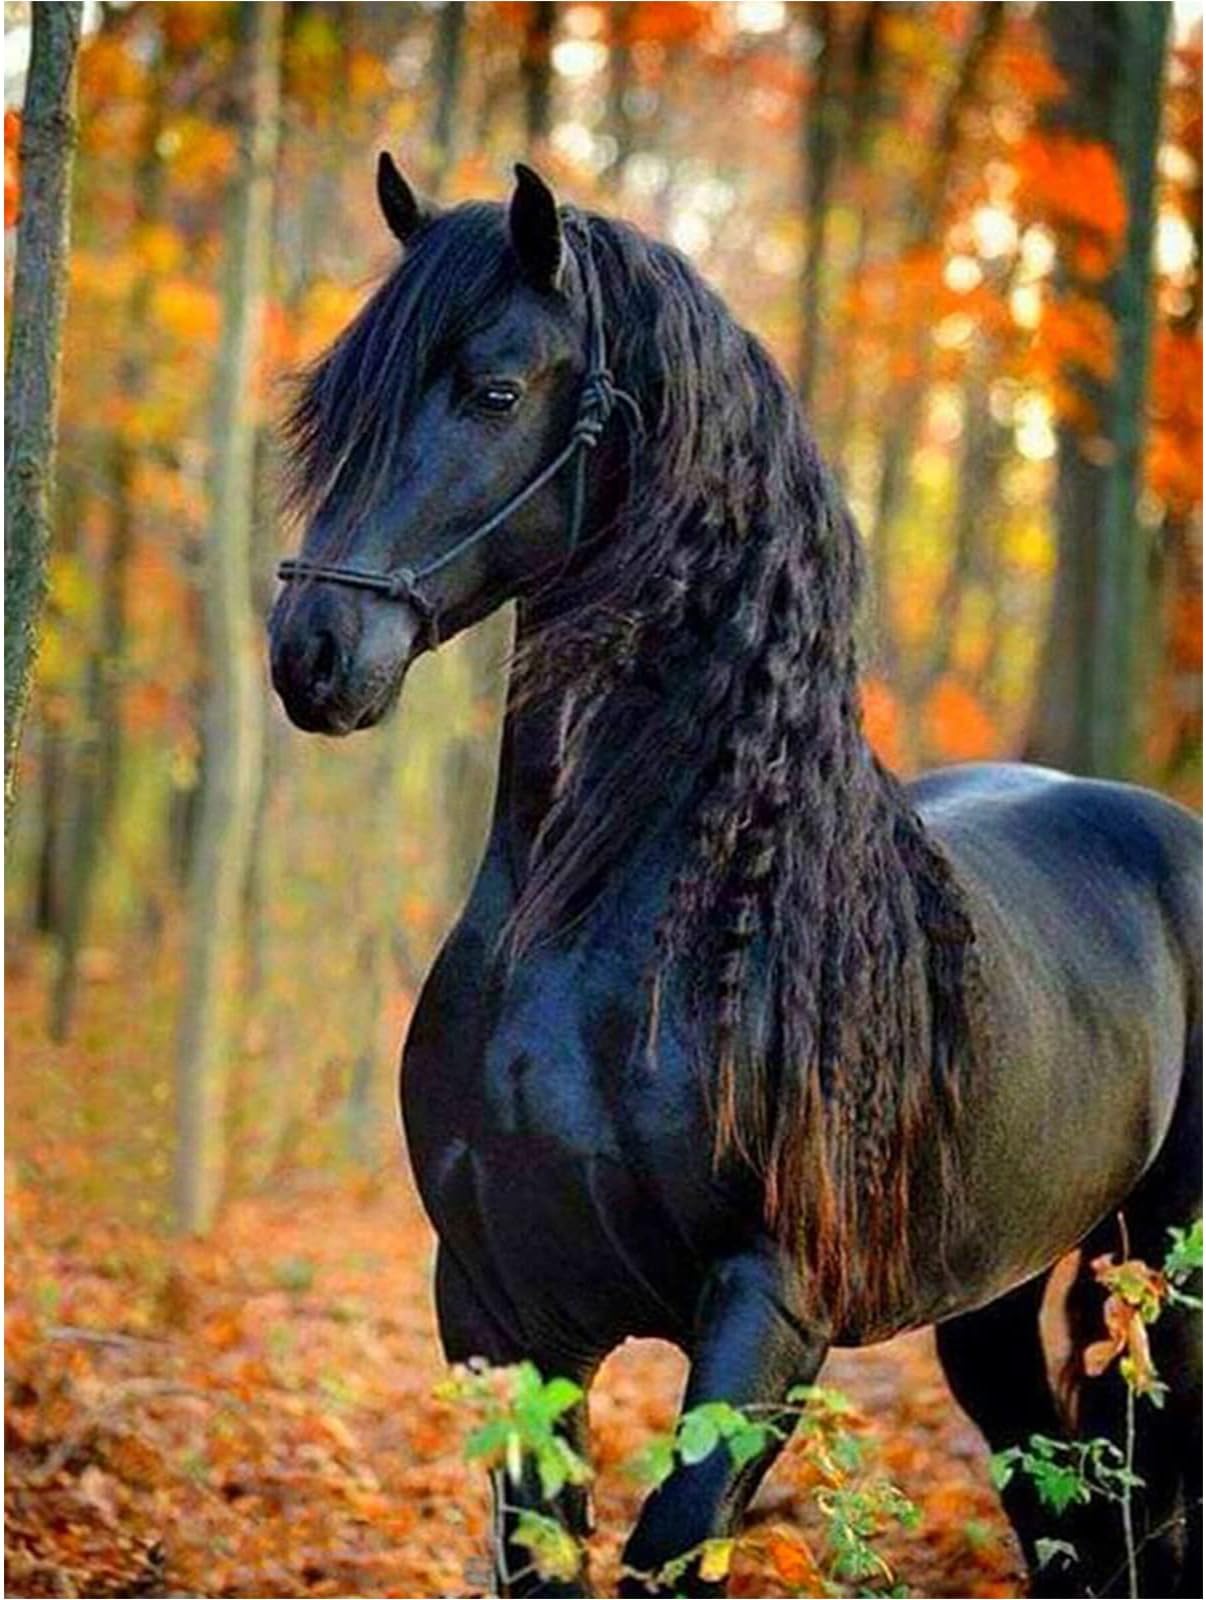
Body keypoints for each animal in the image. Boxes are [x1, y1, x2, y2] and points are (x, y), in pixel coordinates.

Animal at [268, 160, 1201, 1598]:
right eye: (333, 403)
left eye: (494, 391)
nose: (313, 651)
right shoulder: (496, 1311)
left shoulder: (767, 1313)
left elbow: (670, 1543)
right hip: (993, 1294)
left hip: (1160, 1269)